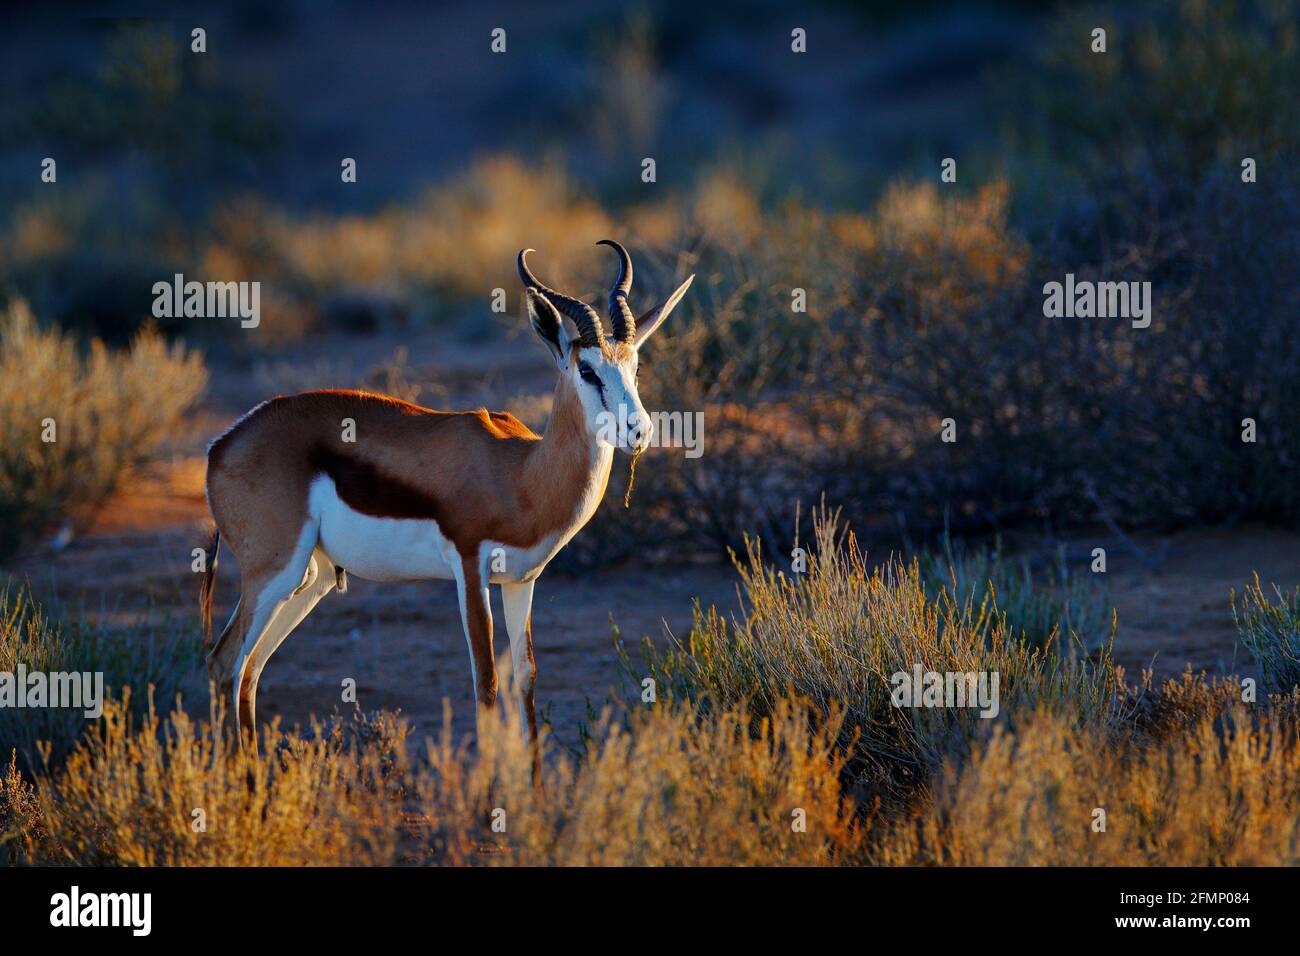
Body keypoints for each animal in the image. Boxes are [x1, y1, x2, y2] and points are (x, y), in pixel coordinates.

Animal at [198, 240, 696, 749]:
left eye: (635, 365)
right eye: (588, 370)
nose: (638, 430)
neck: (520, 474)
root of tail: (223, 444)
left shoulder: (522, 581)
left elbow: (525, 678)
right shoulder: (470, 569)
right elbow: (486, 682)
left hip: (309, 579)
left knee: (250, 670)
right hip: (274, 571)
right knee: (224, 662)